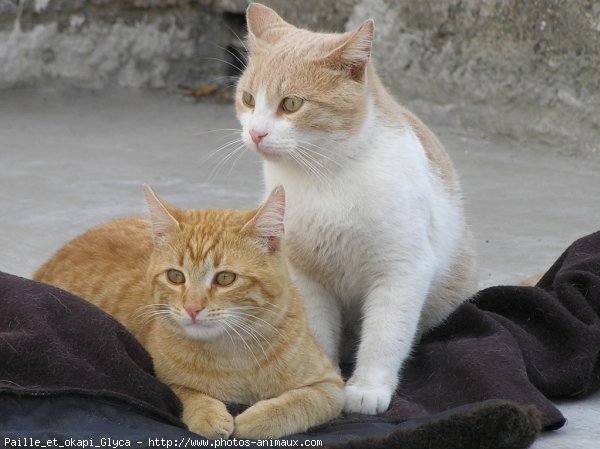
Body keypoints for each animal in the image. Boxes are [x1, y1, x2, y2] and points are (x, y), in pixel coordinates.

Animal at [34, 185, 342, 438]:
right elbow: (187, 393)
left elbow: (302, 402)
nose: (193, 308)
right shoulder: (162, 380)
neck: (233, 353)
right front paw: (208, 413)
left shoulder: (331, 385)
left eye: (225, 278)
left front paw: (257, 420)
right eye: (175, 276)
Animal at [234, 3, 478, 414]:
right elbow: (316, 331)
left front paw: (367, 388)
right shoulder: (305, 276)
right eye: (249, 99)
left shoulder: (401, 270)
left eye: (291, 104)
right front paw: (319, 379)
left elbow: (384, 335)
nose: (256, 133)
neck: (325, 177)